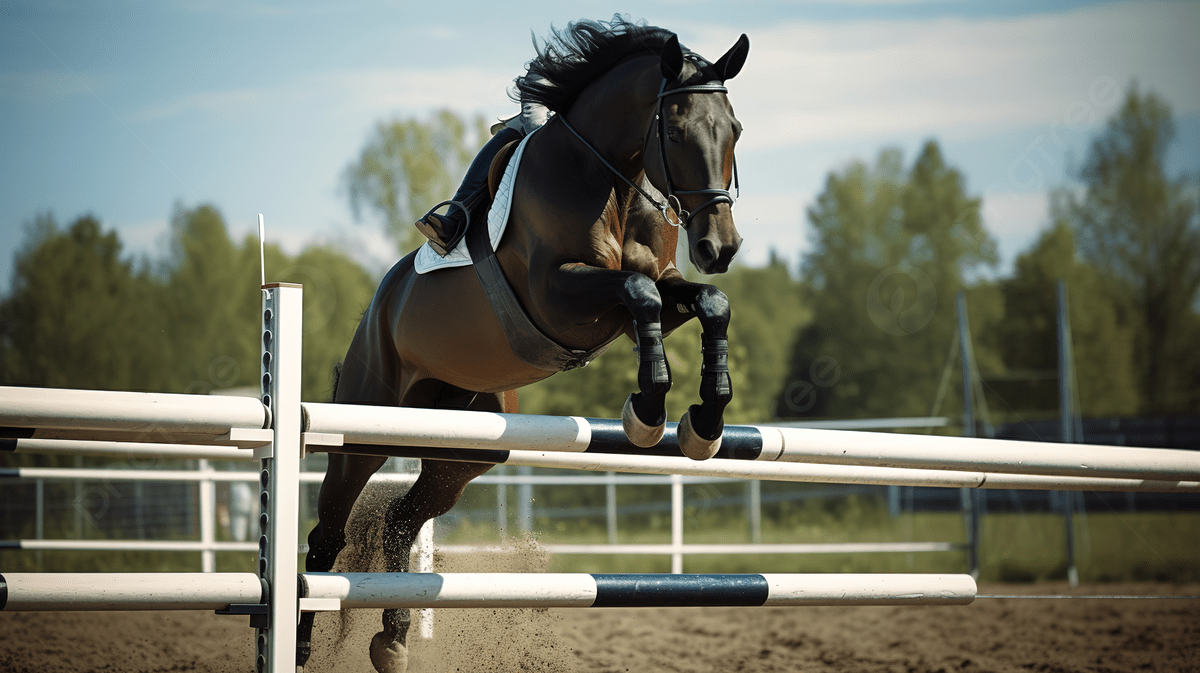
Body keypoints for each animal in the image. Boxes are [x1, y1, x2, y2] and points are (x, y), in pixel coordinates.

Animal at [299, 18, 749, 672]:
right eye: (675, 130)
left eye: (734, 130)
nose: (720, 246)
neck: (610, 180)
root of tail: (375, 310)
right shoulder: (557, 295)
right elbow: (637, 292)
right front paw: (646, 412)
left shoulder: (662, 290)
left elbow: (706, 302)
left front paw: (705, 422)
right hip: (368, 428)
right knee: (328, 531)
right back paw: (304, 643)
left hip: (464, 451)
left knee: (400, 521)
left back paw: (394, 637)